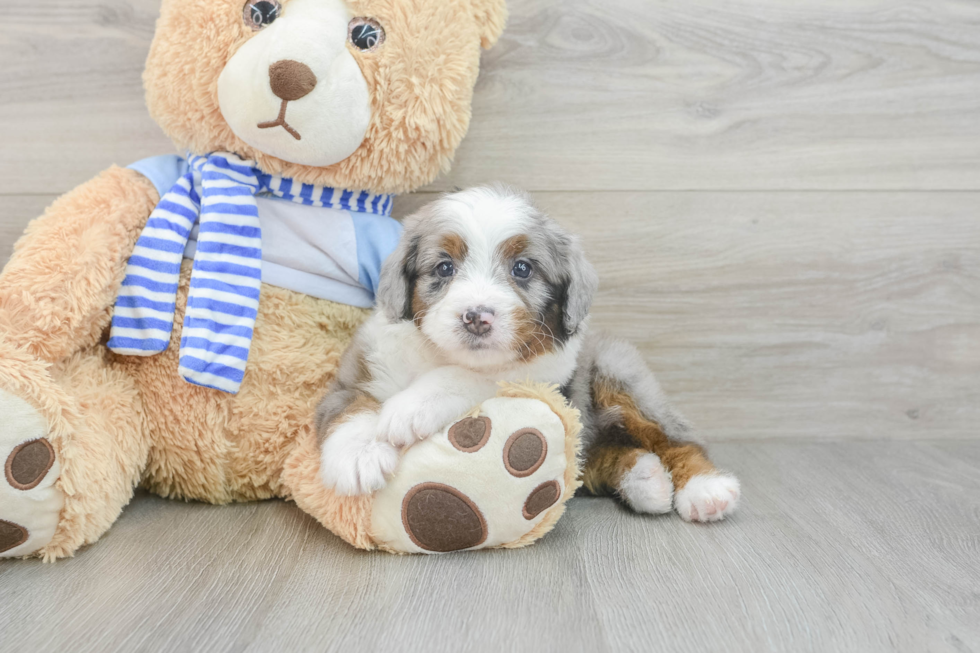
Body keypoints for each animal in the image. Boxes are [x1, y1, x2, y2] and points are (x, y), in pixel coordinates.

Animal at [318, 186, 740, 524]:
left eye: (522, 269)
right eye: (444, 267)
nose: (477, 317)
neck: (440, 355)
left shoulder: (543, 375)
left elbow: (472, 377)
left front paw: (411, 408)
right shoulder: (360, 366)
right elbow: (349, 405)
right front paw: (359, 456)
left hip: (617, 371)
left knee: (678, 438)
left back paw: (706, 489)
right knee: (600, 458)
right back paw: (646, 480)